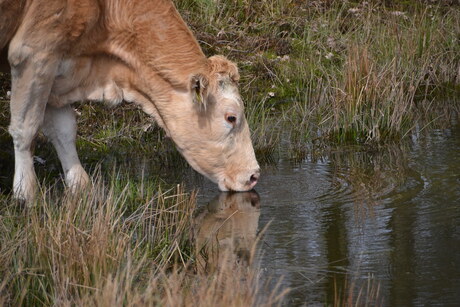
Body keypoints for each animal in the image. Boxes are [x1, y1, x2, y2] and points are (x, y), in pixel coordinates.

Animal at [0, 0, 258, 203]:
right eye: (231, 117)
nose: (254, 175)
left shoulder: (60, 68)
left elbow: (64, 132)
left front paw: (81, 188)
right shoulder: (34, 53)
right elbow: (26, 128)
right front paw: (25, 194)